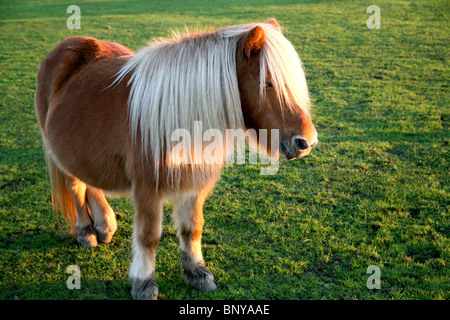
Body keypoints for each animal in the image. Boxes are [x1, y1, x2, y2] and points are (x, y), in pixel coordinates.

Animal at [34, 18, 316, 298]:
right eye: (266, 83)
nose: (307, 142)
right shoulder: (147, 189)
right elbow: (149, 237)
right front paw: (144, 283)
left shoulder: (195, 184)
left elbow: (192, 228)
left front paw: (197, 273)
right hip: (61, 154)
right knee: (76, 186)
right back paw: (86, 232)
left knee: (90, 182)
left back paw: (104, 225)